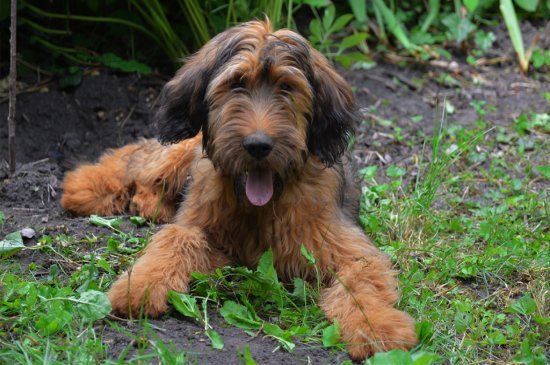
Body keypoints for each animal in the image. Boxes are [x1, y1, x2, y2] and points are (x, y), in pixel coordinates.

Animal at [61, 19, 418, 358]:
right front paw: (140, 286)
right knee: (136, 159)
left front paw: (378, 327)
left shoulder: (347, 247)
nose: (258, 146)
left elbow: (363, 283)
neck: (260, 204)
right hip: (182, 152)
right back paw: (85, 186)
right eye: (237, 83)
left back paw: (149, 203)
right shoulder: (200, 225)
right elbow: (175, 239)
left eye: (287, 87)